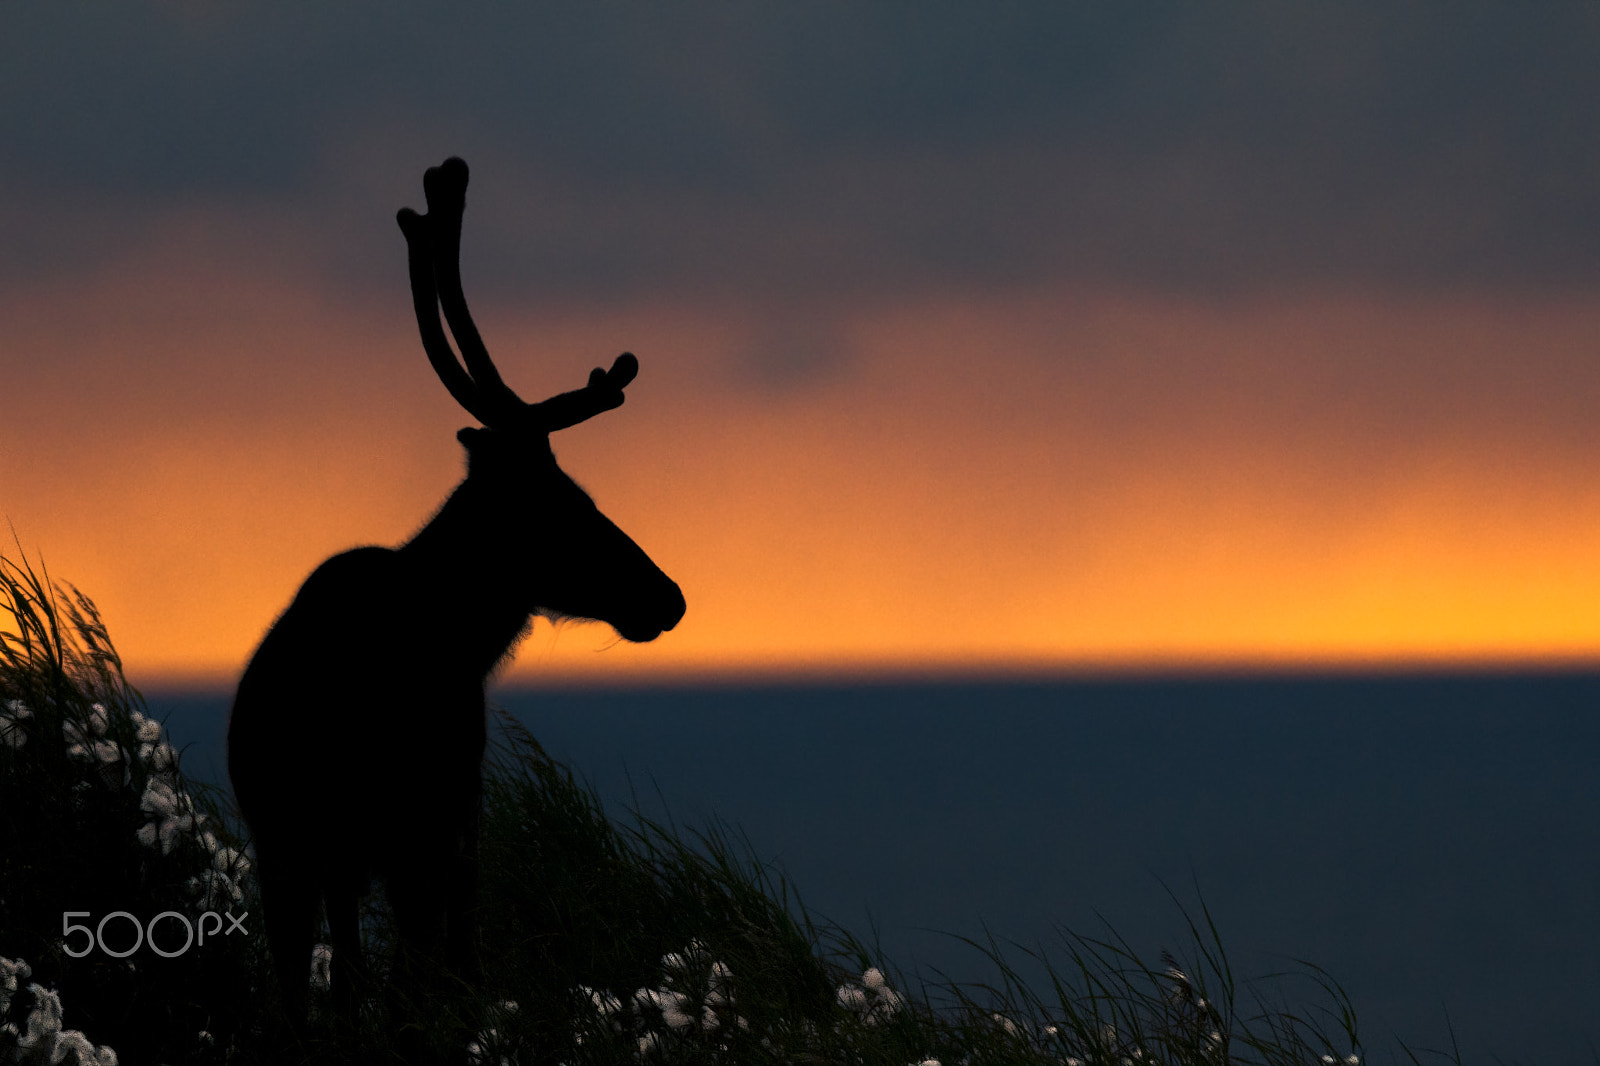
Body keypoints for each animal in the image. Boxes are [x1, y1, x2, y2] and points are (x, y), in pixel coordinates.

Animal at [227, 156, 685, 1031]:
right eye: (562, 502)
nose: (666, 596)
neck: (454, 631)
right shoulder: (433, 825)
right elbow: (435, 976)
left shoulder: (350, 844)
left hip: (317, 847)